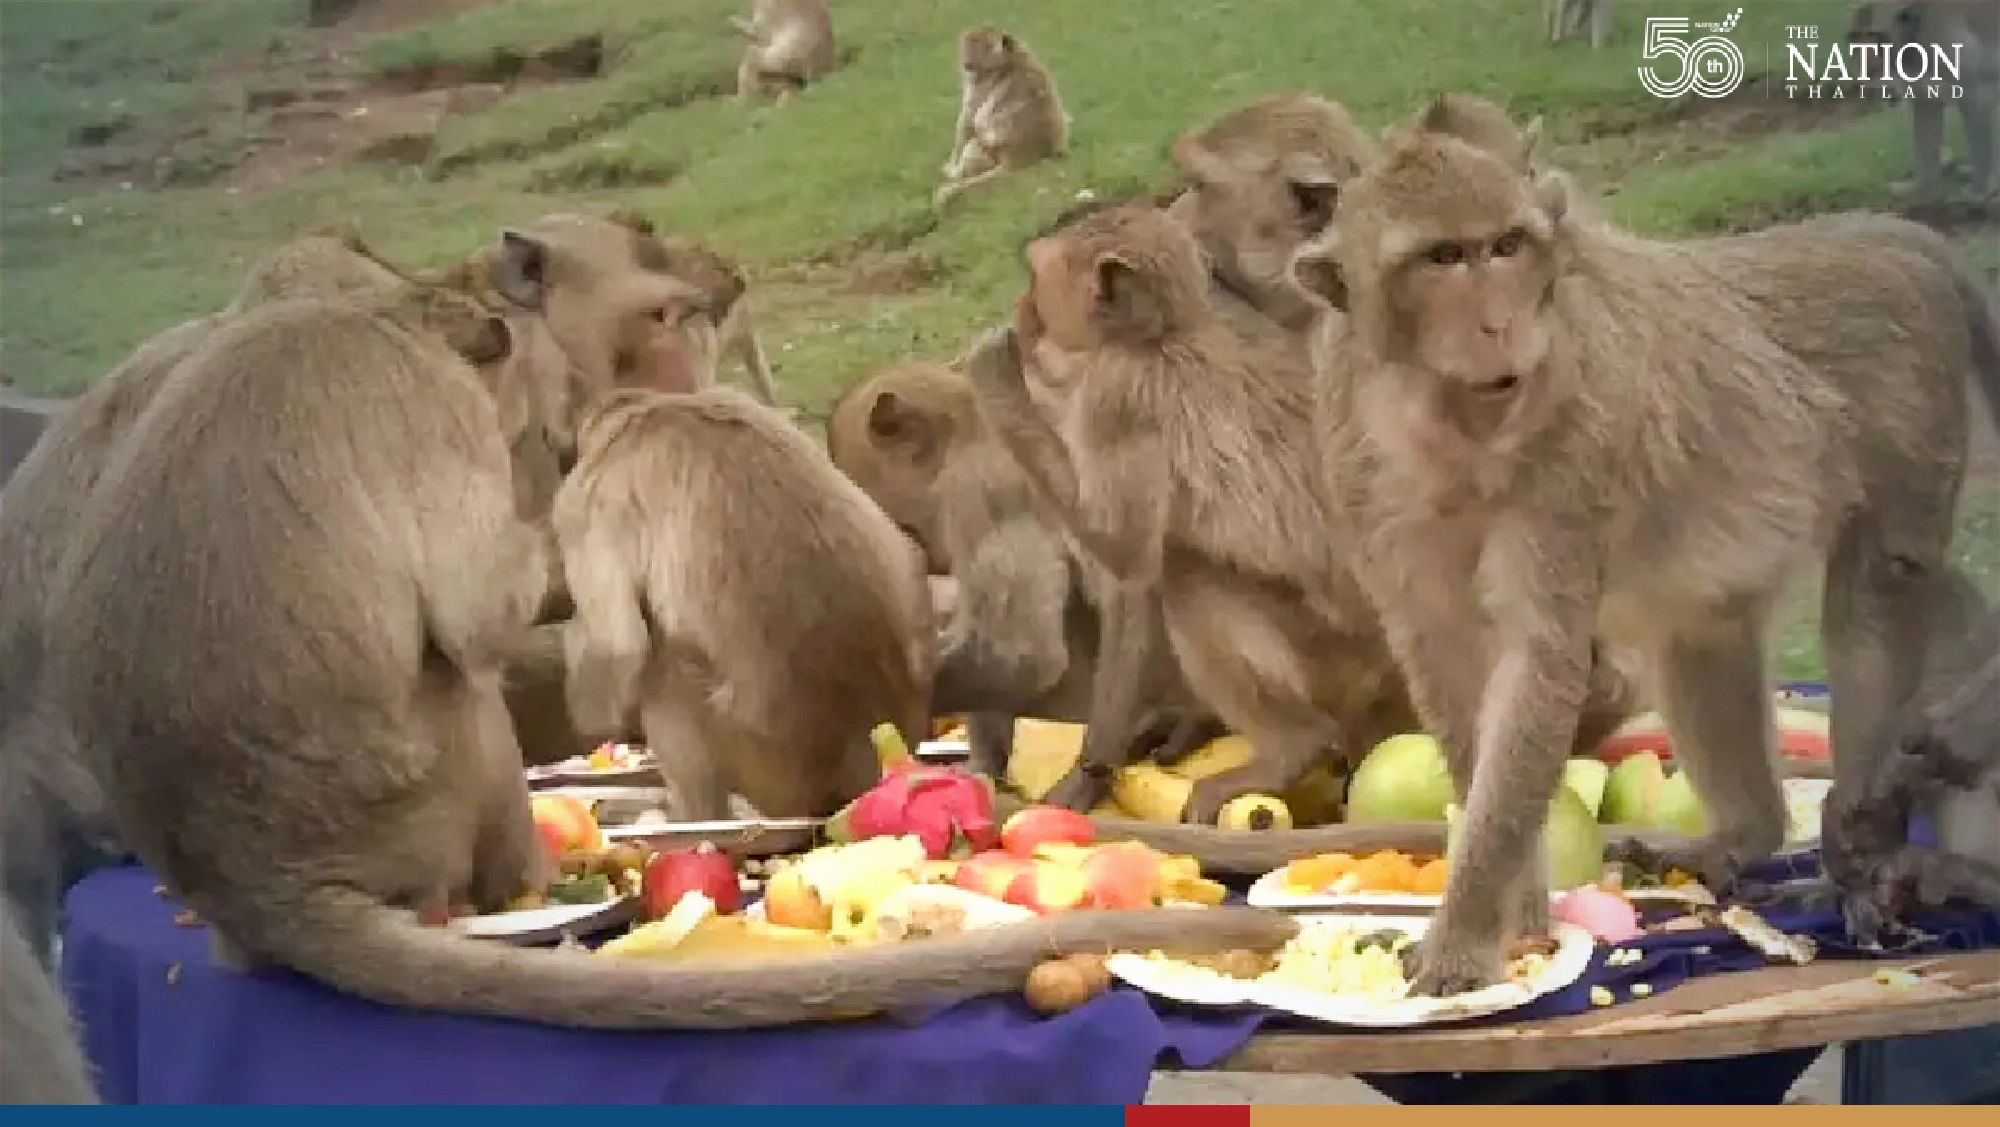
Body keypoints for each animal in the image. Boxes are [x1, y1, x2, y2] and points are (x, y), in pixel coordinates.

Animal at [936, 26, 1069, 207]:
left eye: (978, 45)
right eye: (968, 44)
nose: (966, 61)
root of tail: (1016, 159)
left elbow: (970, 120)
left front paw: (952, 167)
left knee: (975, 142)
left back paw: (955, 173)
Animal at [1288, 114, 1996, 996]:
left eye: (1506, 246)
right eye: (1443, 258)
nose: (1500, 325)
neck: (1445, 430)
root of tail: (1899, 238)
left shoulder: (1573, 442)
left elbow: (1536, 660)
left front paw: (1465, 938)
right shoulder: (1354, 458)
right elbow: (1446, 657)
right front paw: (1517, 914)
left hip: (1913, 420)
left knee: (1874, 597)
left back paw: (1863, 847)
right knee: (1699, 631)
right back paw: (1746, 835)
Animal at [1849, 1, 1999, 207]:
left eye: (1875, 35)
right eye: (1857, 37)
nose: (1866, 58)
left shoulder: (1947, 43)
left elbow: (1976, 102)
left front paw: (1979, 193)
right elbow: (1927, 115)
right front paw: (1923, 189)